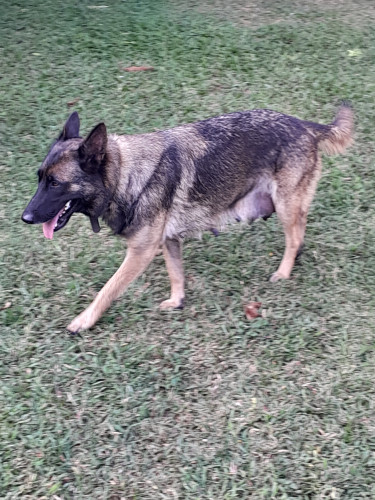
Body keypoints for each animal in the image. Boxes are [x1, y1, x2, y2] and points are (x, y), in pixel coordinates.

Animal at [21, 105, 356, 332]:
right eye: (39, 178)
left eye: (55, 183)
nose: (25, 217)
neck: (125, 175)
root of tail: (304, 124)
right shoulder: (168, 241)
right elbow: (176, 273)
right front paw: (177, 301)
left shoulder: (140, 253)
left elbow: (108, 289)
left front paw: (84, 320)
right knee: (300, 231)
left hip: (285, 206)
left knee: (294, 236)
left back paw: (284, 272)